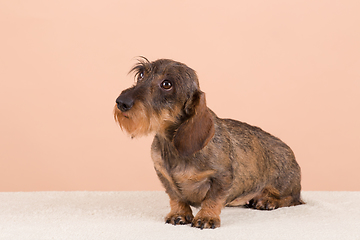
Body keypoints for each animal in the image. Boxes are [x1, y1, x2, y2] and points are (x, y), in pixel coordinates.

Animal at [113, 57, 304, 229]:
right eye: (141, 75)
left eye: (167, 84)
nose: (121, 102)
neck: (171, 145)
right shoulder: (163, 175)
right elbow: (175, 196)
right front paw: (179, 214)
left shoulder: (222, 177)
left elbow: (212, 199)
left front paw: (206, 217)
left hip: (284, 184)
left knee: (293, 199)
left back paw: (267, 200)